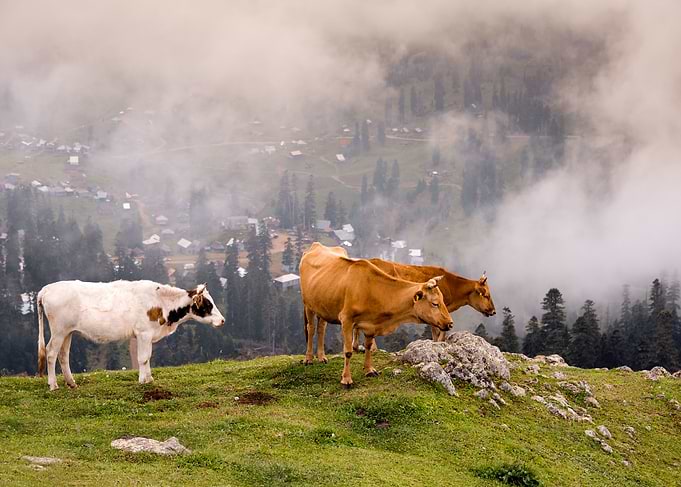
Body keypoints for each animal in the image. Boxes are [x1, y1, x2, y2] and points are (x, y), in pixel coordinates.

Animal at [37, 280, 225, 391]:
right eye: (208, 304)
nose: (222, 320)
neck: (161, 303)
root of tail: (46, 289)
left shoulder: (147, 335)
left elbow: (148, 357)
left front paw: (149, 378)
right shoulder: (144, 333)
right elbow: (142, 358)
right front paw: (143, 380)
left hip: (67, 332)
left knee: (63, 355)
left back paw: (71, 382)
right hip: (59, 331)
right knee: (51, 353)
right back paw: (53, 385)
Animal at [299, 243, 453, 387]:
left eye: (443, 300)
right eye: (435, 303)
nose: (450, 323)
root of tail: (317, 245)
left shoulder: (371, 324)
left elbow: (368, 346)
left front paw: (369, 370)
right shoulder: (346, 319)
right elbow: (348, 351)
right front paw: (346, 379)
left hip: (322, 306)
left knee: (321, 328)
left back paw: (321, 357)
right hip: (308, 304)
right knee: (311, 328)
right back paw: (308, 359)